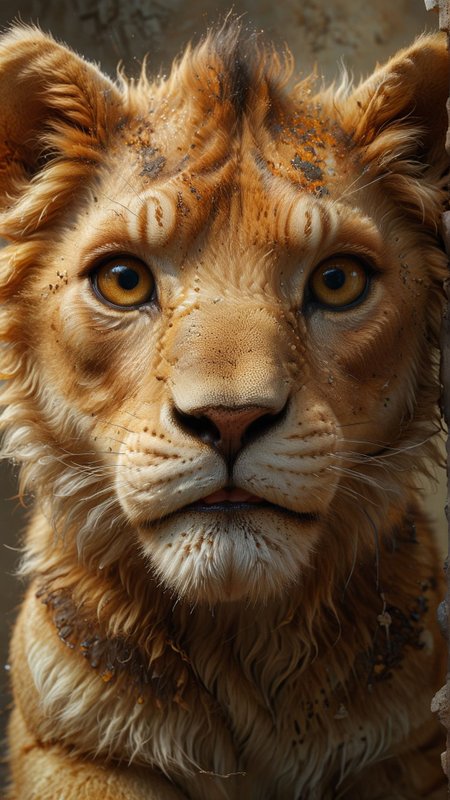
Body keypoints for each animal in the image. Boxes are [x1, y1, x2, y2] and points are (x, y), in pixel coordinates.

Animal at [1, 20, 448, 800]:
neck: (237, 642)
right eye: (124, 280)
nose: (231, 421)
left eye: (338, 280)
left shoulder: (409, 750)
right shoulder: (70, 747)